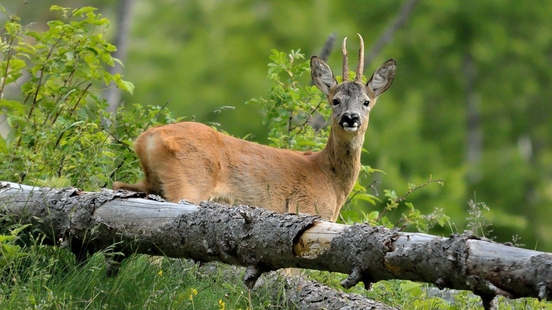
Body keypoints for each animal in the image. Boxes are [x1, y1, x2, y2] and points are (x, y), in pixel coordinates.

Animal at [114, 35, 394, 222]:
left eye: (366, 102)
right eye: (335, 100)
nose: (350, 118)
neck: (330, 179)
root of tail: (147, 138)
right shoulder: (306, 211)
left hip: (149, 182)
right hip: (188, 184)